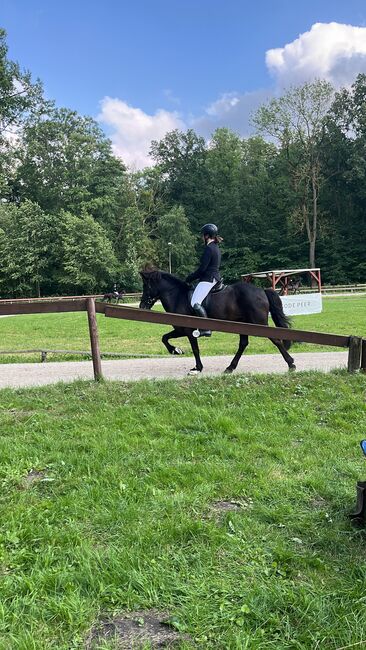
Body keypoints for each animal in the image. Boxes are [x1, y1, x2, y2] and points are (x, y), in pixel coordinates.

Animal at [139, 268, 296, 370]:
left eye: (146, 286)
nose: (142, 306)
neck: (177, 296)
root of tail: (262, 290)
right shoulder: (180, 330)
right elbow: (164, 338)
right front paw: (176, 350)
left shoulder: (189, 331)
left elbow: (195, 349)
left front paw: (198, 367)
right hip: (243, 323)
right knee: (243, 344)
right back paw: (230, 367)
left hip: (258, 323)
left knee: (275, 340)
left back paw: (291, 364)